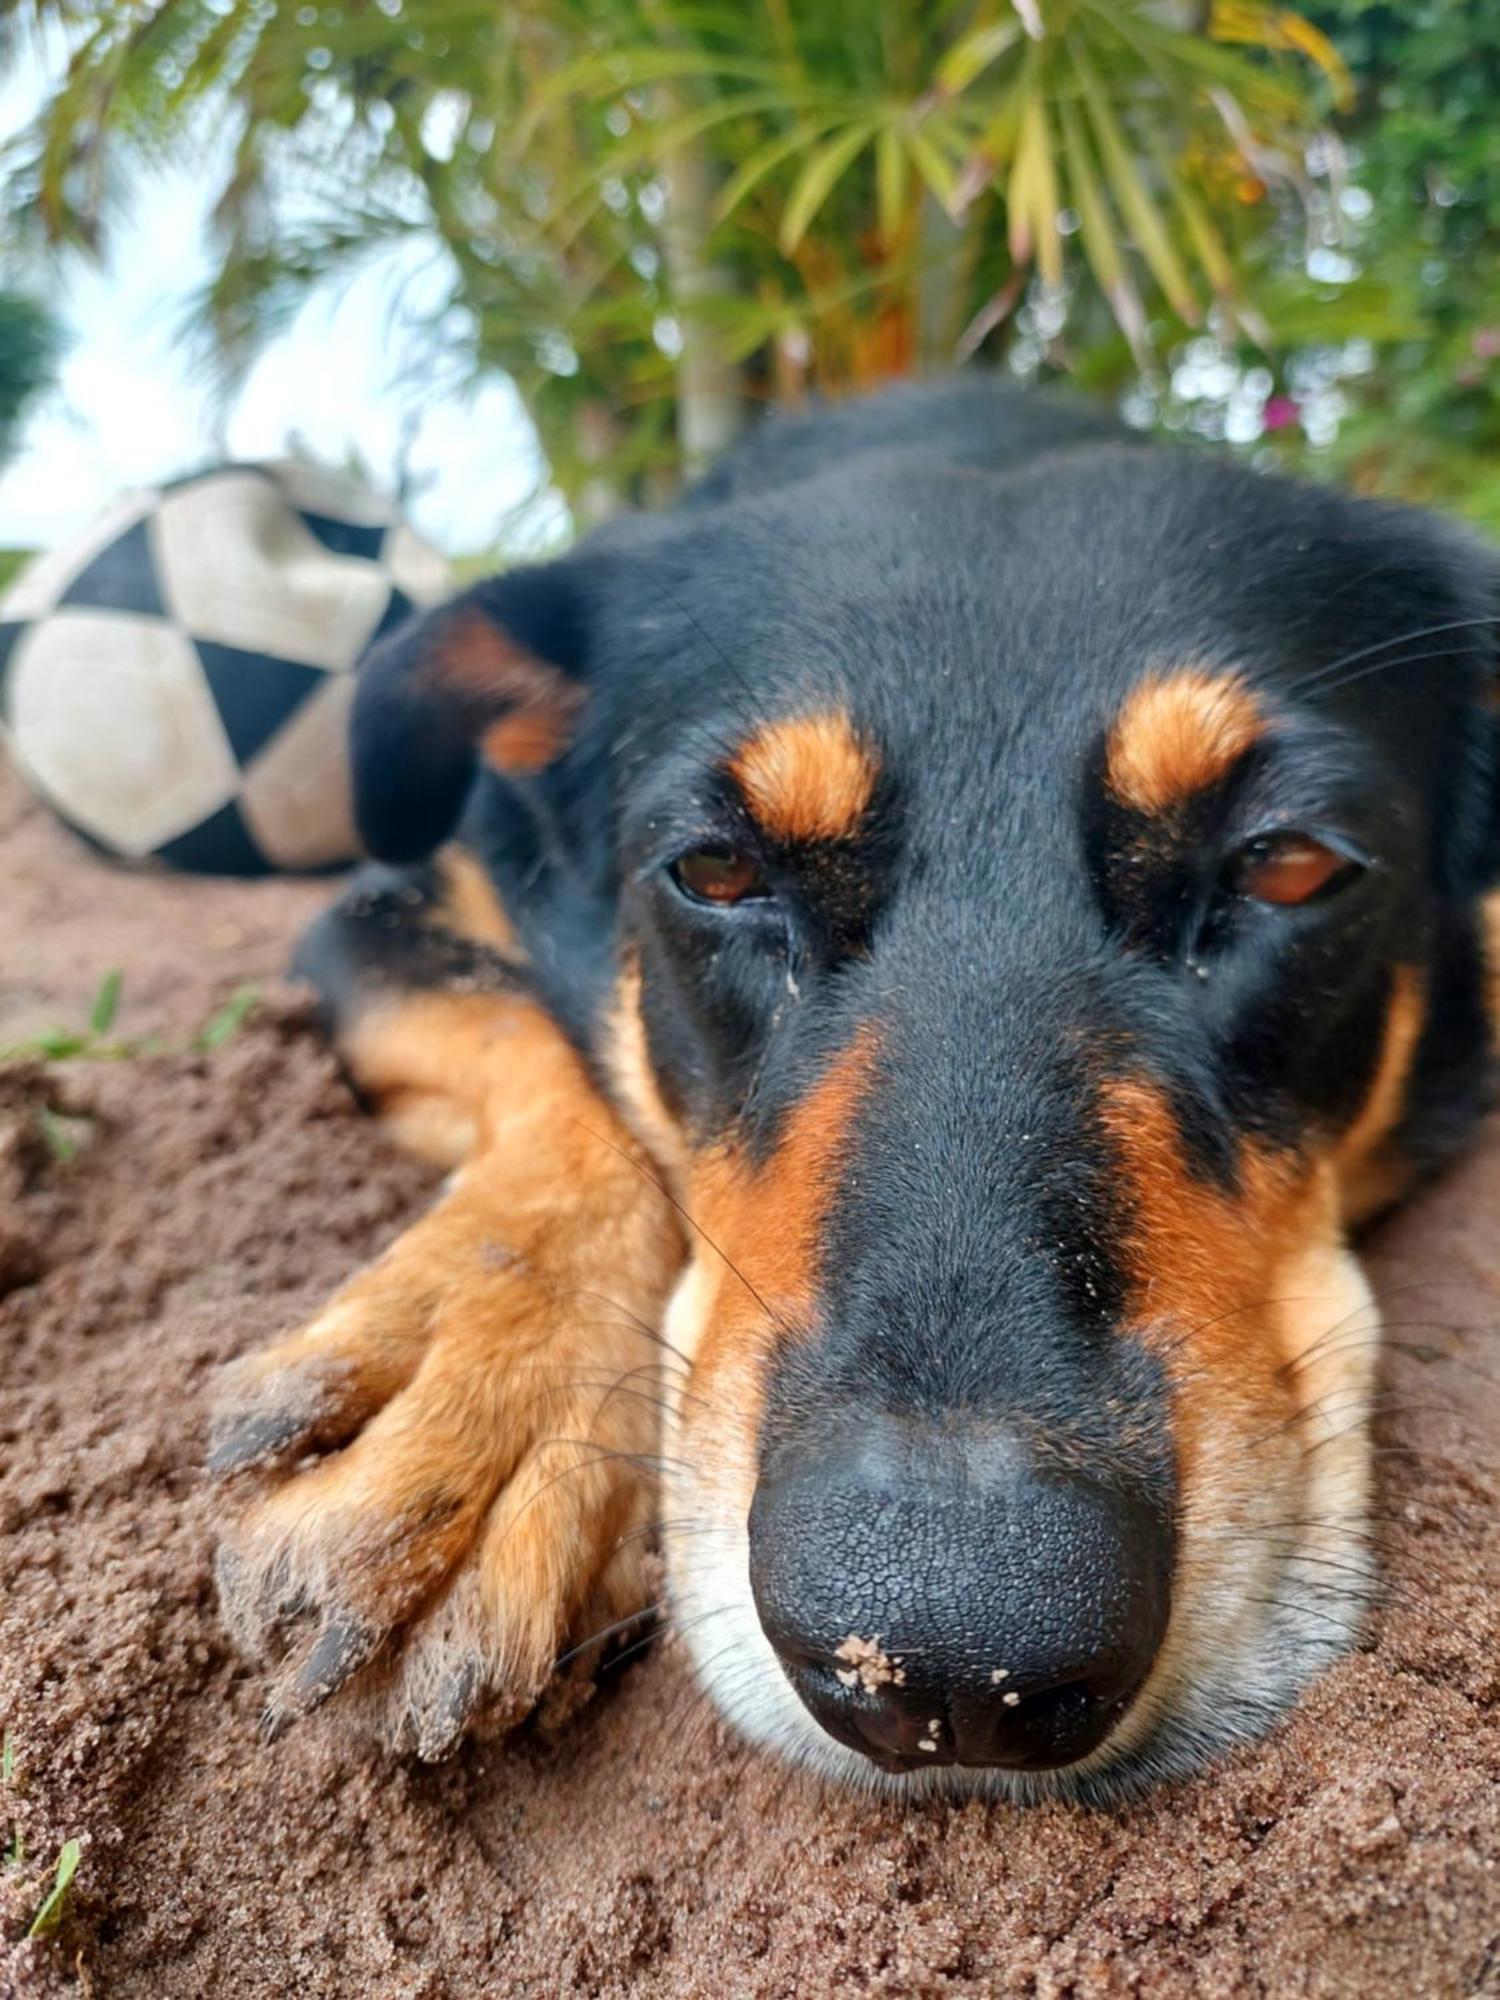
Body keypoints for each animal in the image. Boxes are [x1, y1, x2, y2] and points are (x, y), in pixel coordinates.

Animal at [209, 376, 1500, 1800]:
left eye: (1287, 864)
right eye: (714, 869)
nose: (954, 1651)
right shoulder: (389, 908)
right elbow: (536, 1041)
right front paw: (482, 1379)